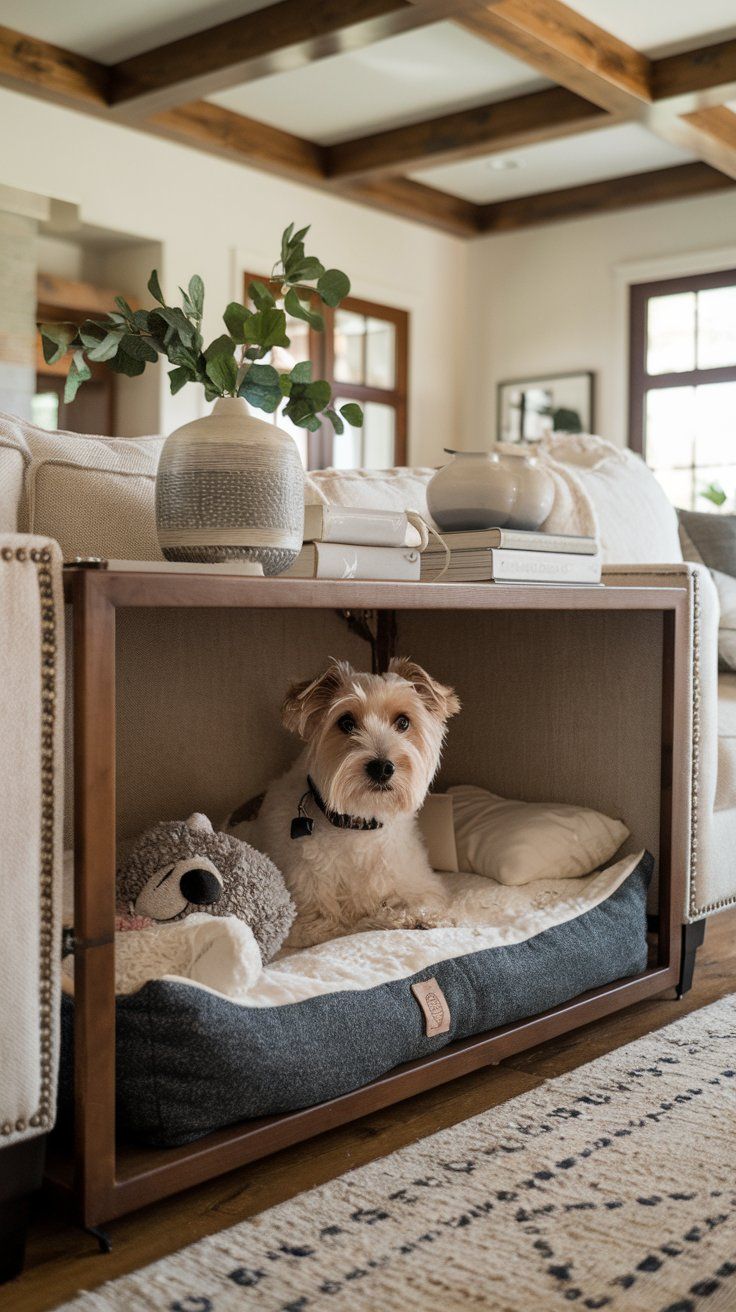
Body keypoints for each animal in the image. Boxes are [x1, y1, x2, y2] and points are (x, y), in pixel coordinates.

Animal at [251, 653, 459, 944]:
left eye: (403, 722)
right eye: (346, 723)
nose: (382, 767)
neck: (359, 824)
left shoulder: (419, 883)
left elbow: (419, 900)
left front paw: (423, 917)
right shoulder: (312, 919)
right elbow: (355, 922)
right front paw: (395, 919)